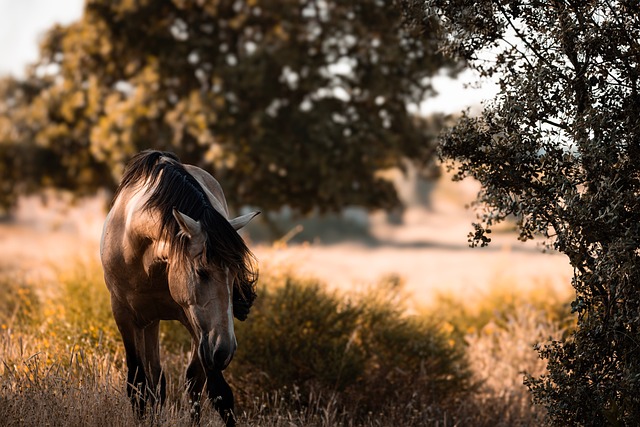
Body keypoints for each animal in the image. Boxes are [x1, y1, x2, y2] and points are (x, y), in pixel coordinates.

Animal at [100, 150, 259, 426]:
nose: (225, 350)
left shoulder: (198, 324)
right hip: (151, 322)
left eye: (234, 276)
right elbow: (138, 385)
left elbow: (219, 393)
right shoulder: (124, 315)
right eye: (201, 271)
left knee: (193, 383)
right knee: (155, 380)